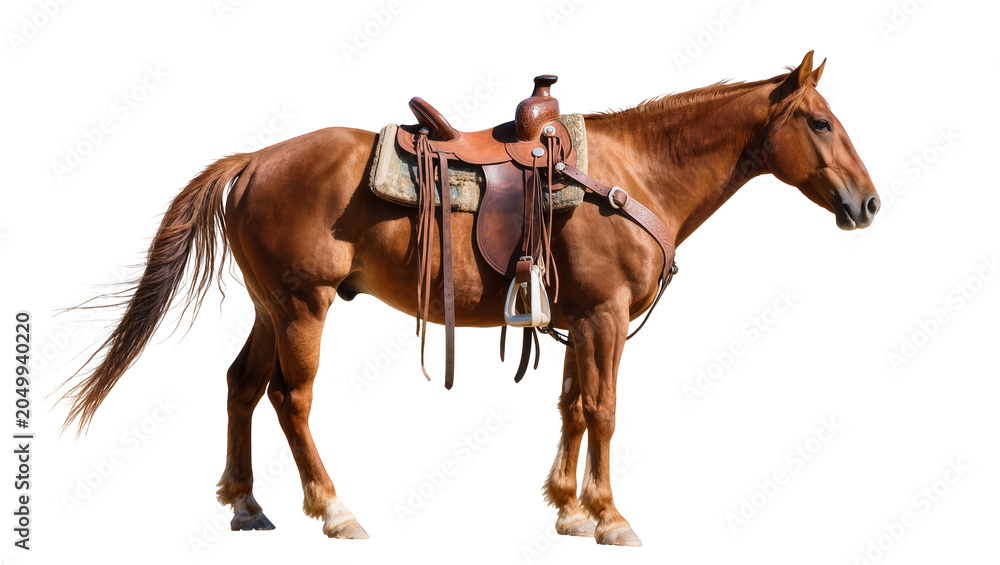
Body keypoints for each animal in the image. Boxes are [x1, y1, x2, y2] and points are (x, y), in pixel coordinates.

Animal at [60, 51, 879, 546]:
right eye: (819, 121)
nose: (868, 203)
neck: (633, 175)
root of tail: (256, 160)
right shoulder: (606, 315)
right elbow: (604, 409)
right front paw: (611, 516)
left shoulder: (575, 319)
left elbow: (571, 406)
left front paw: (567, 506)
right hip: (301, 305)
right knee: (290, 399)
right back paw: (334, 508)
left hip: (270, 306)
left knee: (240, 385)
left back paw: (247, 504)